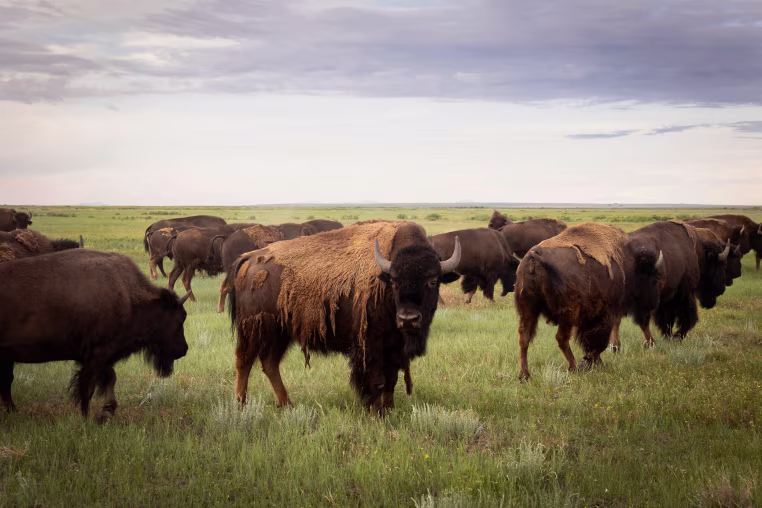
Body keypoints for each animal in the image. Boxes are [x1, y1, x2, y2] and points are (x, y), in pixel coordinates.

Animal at [0, 249, 190, 421]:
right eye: (179, 319)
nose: (183, 350)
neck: (128, 296)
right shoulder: (97, 355)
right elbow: (88, 387)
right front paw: (86, 418)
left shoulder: (104, 357)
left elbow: (109, 378)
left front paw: (106, 412)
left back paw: (13, 412)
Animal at [229, 220, 460, 414]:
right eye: (394, 282)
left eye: (433, 281)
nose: (408, 319)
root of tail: (249, 258)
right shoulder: (370, 346)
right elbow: (377, 380)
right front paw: (375, 412)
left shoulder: (394, 347)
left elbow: (392, 379)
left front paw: (389, 409)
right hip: (255, 330)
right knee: (244, 362)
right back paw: (241, 406)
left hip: (280, 333)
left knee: (269, 364)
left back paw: (287, 405)